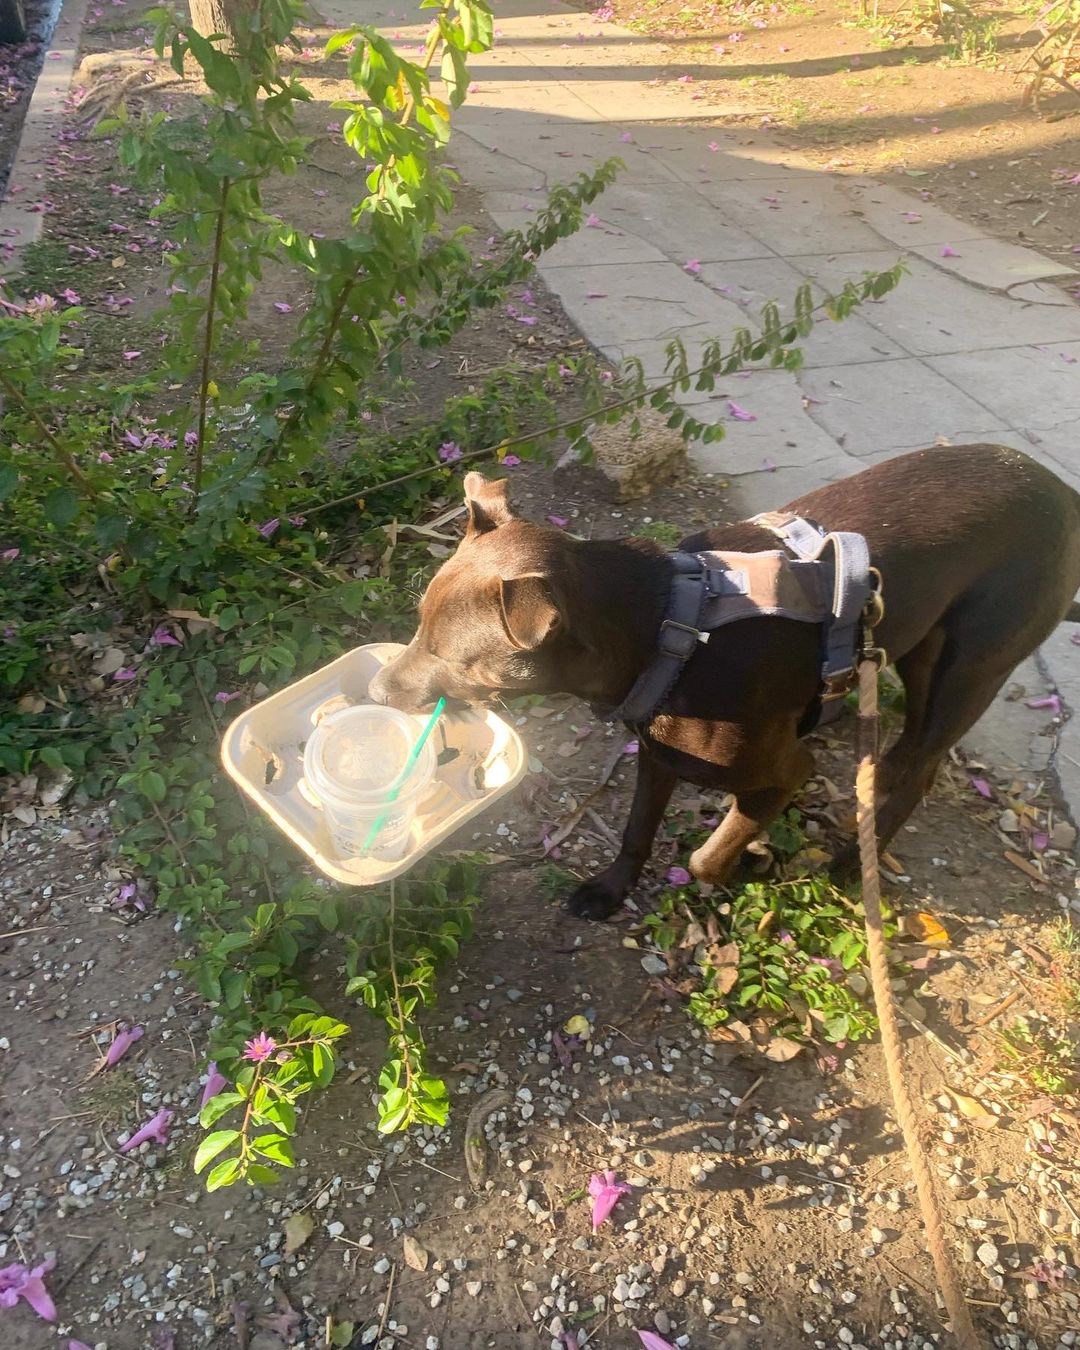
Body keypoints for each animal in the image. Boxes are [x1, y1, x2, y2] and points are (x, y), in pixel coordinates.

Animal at [369, 443, 1080, 919]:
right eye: (418, 625)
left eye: (449, 654)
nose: (375, 693)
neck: (668, 629)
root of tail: (1061, 491)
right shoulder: (656, 755)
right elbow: (636, 830)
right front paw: (610, 889)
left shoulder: (785, 772)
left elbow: (703, 857)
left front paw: (743, 866)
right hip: (921, 649)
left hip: (971, 668)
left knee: (920, 764)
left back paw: (855, 859)